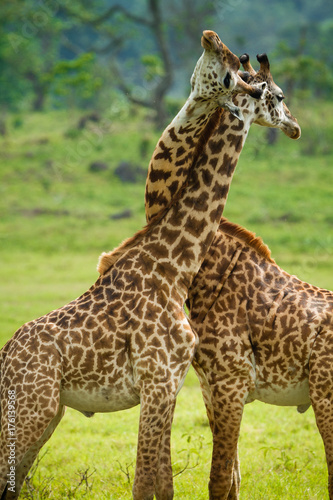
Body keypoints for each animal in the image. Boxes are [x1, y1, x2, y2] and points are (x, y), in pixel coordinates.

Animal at [0, 31, 260, 500]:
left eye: (233, 67)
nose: (209, 36)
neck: (173, 267)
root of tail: (5, 355)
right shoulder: (156, 379)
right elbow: (146, 483)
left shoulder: (168, 382)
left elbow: (160, 482)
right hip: (33, 407)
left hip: (45, 412)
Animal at [144, 51, 300, 500]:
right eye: (279, 94)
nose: (295, 126)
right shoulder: (210, 382)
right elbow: (230, 478)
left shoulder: (228, 380)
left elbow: (223, 478)